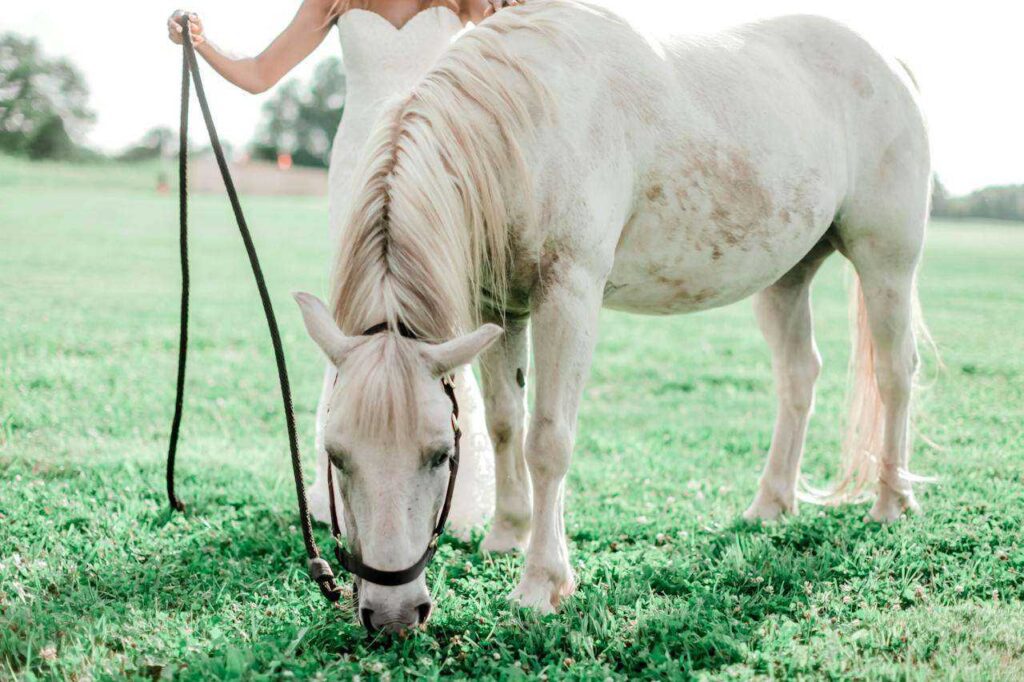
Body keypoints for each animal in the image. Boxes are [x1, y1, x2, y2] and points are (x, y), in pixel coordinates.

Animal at [293, 0, 932, 630]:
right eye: (335, 455)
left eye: (440, 456)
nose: (392, 615)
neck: (526, 124)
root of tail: (891, 64)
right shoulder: (499, 308)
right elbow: (504, 423)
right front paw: (507, 535)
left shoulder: (569, 293)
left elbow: (548, 439)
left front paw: (541, 583)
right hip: (786, 278)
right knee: (799, 376)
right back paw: (771, 503)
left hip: (886, 264)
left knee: (895, 374)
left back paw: (890, 502)